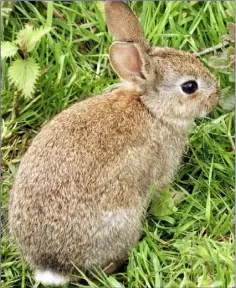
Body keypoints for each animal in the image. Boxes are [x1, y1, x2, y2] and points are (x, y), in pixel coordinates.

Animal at [8, 1, 219, 286]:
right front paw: (176, 197)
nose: (217, 95)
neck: (151, 108)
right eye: (189, 87)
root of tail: (52, 266)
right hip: (123, 219)